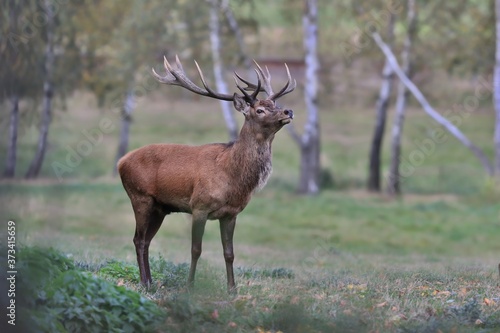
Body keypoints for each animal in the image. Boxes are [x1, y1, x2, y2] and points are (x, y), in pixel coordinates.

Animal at [116, 54, 296, 290]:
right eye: (260, 110)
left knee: (146, 240)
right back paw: (145, 283)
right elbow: (196, 250)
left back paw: (151, 282)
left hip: (160, 208)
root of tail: (121, 162)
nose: (288, 111)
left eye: (274, 104)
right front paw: (190, 286)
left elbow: (229, 253)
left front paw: (232, 289)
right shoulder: (199, 206)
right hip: (140, 197)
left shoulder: (231, 214)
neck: (233, 178)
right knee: (138, 239)